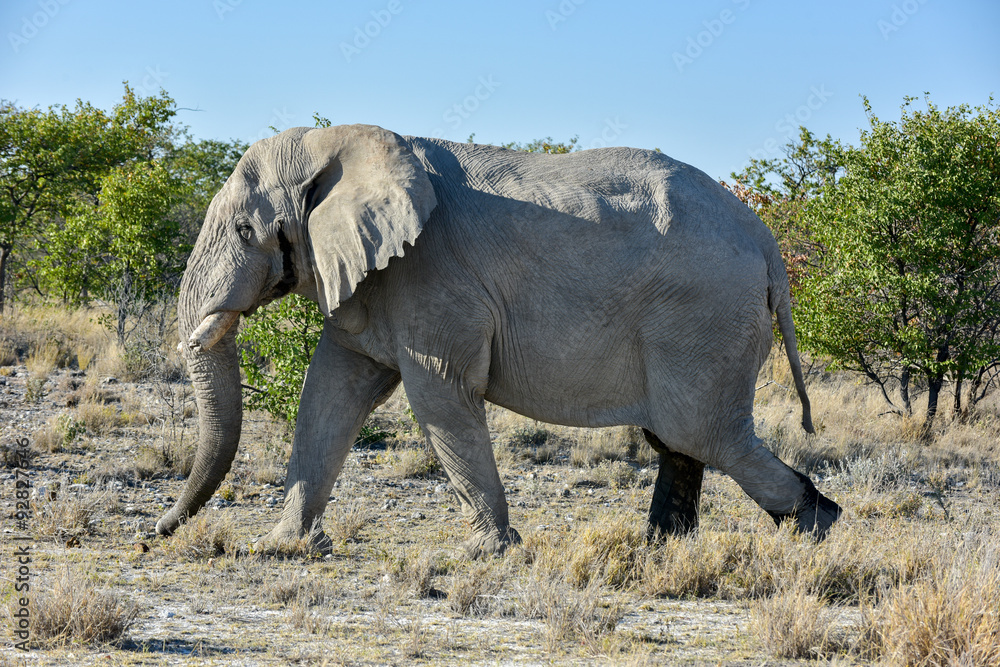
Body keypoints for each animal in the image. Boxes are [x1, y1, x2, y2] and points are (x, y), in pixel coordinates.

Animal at [156, 123, 841, 556]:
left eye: (245, 231)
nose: (154, 531)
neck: (343, 140)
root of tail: (767, 243)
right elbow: (330, 394)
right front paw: (279, 546)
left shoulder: (433, 277)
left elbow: (441, 397)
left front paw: (488, 552)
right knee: (680, 438)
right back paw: (662, 552)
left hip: (703, 316)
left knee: (701, 432)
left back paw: (816, 526)